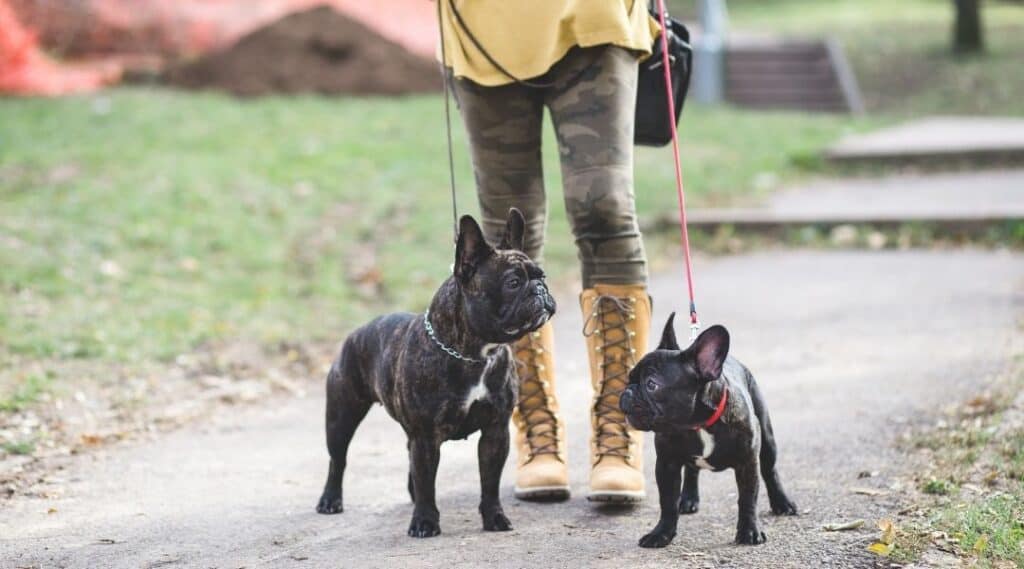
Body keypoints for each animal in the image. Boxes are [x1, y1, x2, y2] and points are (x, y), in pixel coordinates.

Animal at [315, 207, 557, 536]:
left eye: (541, 276)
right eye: (513, 282)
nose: (540, 288)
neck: (475, 354)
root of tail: (356, 333)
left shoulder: (495, 431)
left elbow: (489, 483)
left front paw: (494, 517)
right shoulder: (427, 436)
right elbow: (428, 482)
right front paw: (425, 521)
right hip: (342, 415)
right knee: (337, 459)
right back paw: (330, 499)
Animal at [618, 313, 794, 548]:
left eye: (651, 384)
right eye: (629, 378)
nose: (627, 392)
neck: (697, 424)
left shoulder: (747, 462)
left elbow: (748, 498)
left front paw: (749, 531)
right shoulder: (667, 464)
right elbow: (667, 502)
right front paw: (661, 533)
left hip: (767, 438)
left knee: (770, 470)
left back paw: (782, 503)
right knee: (692, 470)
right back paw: (688, 499)